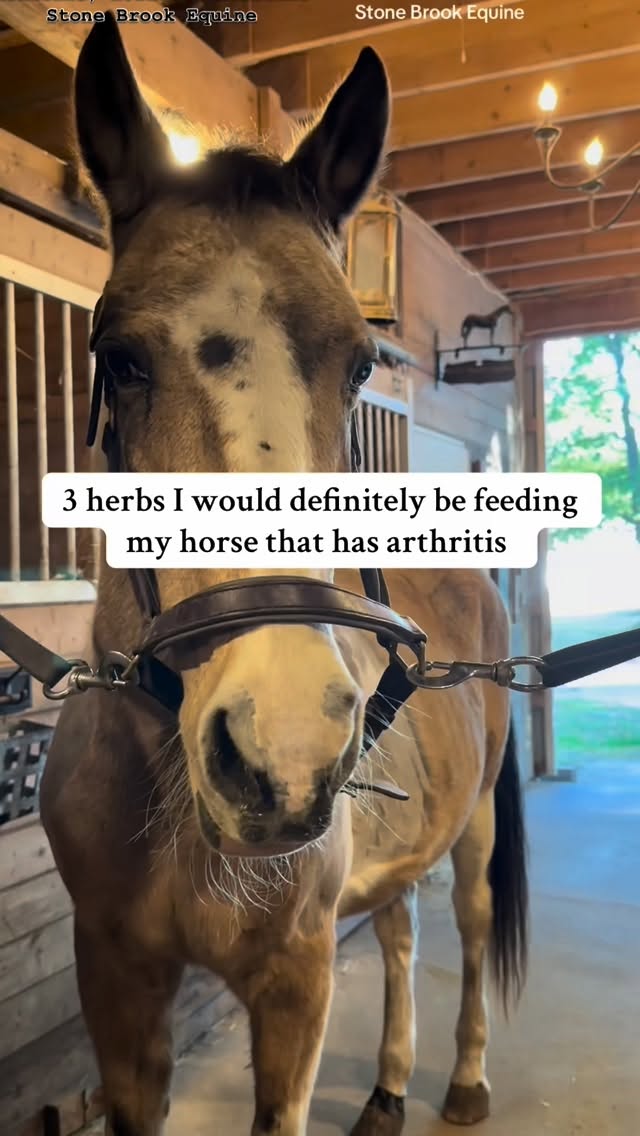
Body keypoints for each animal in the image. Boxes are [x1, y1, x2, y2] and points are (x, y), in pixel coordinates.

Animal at [41, 15, 528, 1136]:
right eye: (118, 355)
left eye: (359, 364)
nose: (286, 749)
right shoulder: (116, 988)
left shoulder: (295, 982)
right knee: (398, 929)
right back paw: (387, 1089)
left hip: (477, 823)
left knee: (470, 923)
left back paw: (464, 1080)